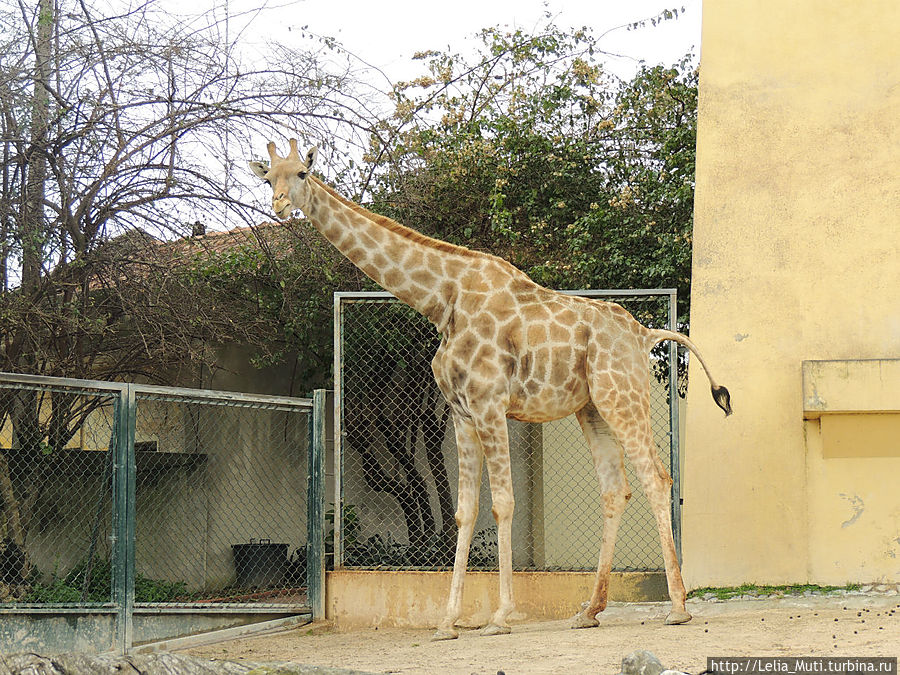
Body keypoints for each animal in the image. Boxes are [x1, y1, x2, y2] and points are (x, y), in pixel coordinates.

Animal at [246, 141, 732, 640]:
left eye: (302, 173)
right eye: (267, 177)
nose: (279, 205)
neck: (443, 301)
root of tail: (644, 335)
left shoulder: (490, 405)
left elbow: (502, 504)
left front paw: (500, 616)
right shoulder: (461, 412)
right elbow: (463, 511)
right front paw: (447, 622)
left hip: (624, 396)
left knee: (657, 478)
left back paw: (678, 607)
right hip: (592, 407)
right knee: (615, 490)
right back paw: (589, 611)